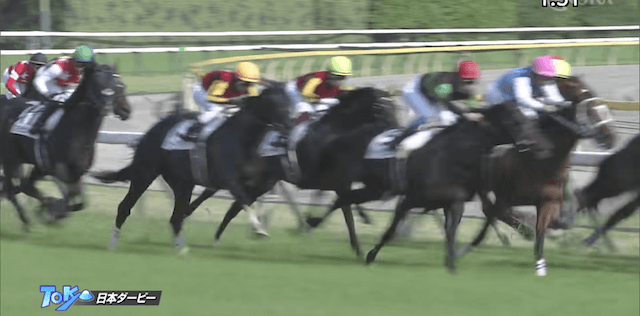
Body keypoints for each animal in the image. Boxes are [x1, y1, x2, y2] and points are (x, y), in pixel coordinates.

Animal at [0, 64, 131, 228]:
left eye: (119, 85)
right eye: (97, 83)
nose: (126, 110)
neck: (76, 129)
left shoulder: (76, 172)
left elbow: (79, 203)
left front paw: (52, 211)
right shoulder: (59, 169)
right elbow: (67, 199)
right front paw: (51, 211)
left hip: (36, 166)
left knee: (23, 186)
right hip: (11, 159)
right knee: (14, 187)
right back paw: (28, 217)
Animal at [91, 82, 292, 253]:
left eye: (287, 100)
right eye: (274, 103)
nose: (290, 124)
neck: (243, 138)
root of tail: (150, 133)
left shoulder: (256, 183)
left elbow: (238, 205)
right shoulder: (230, 180)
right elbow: (242, 201)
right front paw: (259, 230)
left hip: (183, 183)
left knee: (175, 217)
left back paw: (182, 250)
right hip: (145, 173)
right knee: (125, 207)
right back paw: (112, 244)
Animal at [456, 75, 616, 276]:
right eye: (590, 107)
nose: (610, 138)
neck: (544, 159)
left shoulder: (548, 201)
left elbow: (545, 227)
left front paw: (540, 263)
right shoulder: (505, 196)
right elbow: (497, 213)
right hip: (480, 183)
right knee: (488, 208)